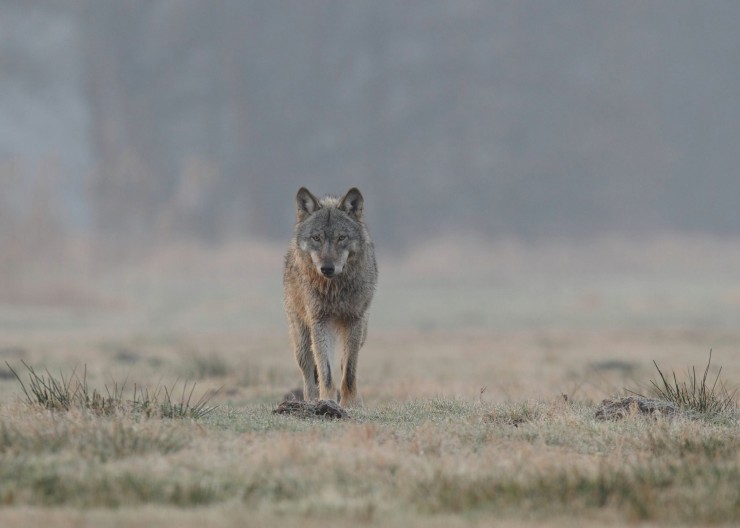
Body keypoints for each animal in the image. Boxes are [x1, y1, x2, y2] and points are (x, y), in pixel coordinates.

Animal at [282, 188, 378, 406]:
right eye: (316, 238)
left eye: (341, 238)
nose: (327, 268)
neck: (334, 290)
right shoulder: (319, 322)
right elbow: (325, 372)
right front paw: (326, 401)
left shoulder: (354, 320)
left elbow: (349, 371)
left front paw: (350, 404)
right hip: (302, 340)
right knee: (309, 375)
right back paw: (310, 402)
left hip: (362, 332)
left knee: (344, 364)